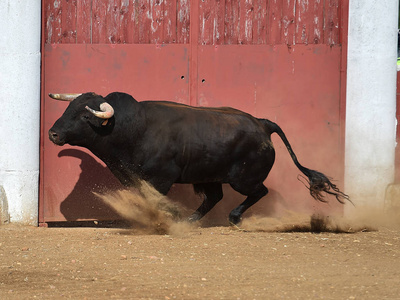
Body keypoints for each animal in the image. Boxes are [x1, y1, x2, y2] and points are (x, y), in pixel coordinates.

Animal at [49, 92, 350, 224]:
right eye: (68, 109)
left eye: (85, 116)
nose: (53, 133)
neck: (131, 128)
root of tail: (262, 124)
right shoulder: (133, 176)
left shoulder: (161, 178)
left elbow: (153, 199)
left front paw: (162, 218)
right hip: (210, 176)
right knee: (214, 197)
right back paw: (190, 220)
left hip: (242, 178)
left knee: (258, 191)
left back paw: (233, 217)